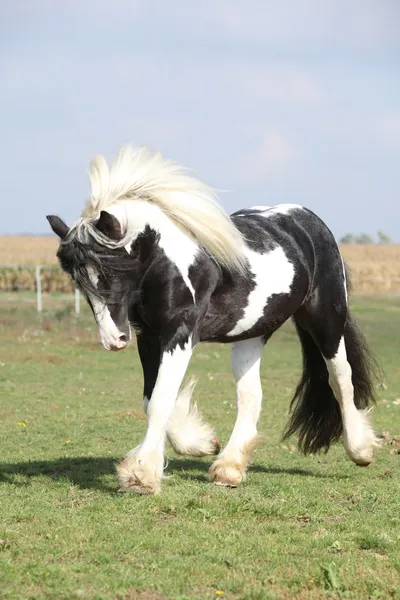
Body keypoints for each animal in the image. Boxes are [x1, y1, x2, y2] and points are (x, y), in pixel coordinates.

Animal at [47, 144, 378, 492]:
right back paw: (228, 469)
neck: (170, 261)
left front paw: (141, 475)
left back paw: (361, 450)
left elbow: (161, 399)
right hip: (250, 335)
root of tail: (310, 222)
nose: (114, 340)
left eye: (113, 270)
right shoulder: (150, 336)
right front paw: (200, 443)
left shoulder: (180, 334)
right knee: (251, 396)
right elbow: (152, 398)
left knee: (340, 379)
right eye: (77, 279)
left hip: (326, 322)